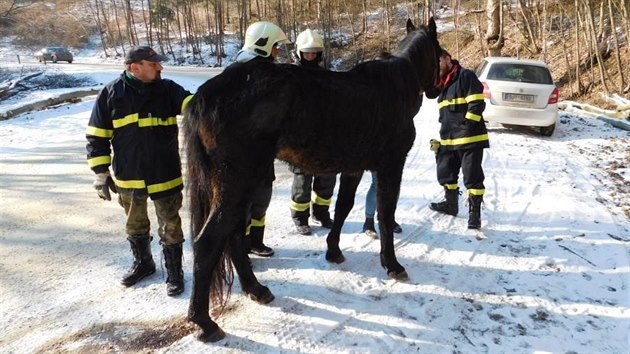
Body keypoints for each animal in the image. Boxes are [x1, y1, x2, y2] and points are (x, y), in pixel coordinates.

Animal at [184, 18, 444, 342]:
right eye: (441, 52)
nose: (437, 88)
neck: (393, 86)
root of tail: (204, 96)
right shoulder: (390, 166)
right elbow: (385, 215)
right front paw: (392, 264)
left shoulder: (354, 168)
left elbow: (342, 208)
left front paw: (333, 251)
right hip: (237, 180)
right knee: (209, 241)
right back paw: (203, 321)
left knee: (231, 236)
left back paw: (256, 289)